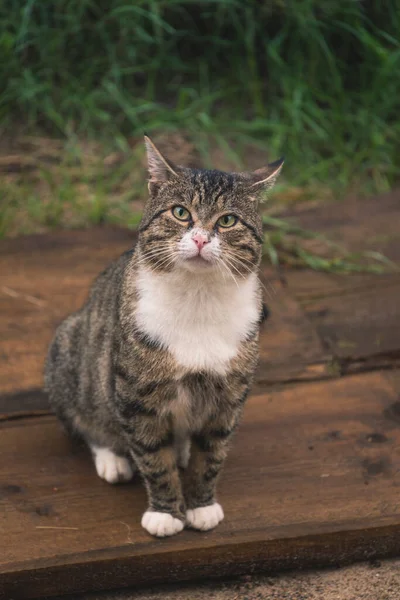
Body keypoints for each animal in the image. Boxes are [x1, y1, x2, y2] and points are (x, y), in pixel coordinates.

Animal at [44, 137, 284, 540]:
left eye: (227, 220)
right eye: (181, 213)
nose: (200, 238)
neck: (198, 299)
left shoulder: (228, 398)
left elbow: (211, 456)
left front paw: (201, 505)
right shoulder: (137, 397)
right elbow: (154, 459)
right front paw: (166, 513)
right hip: (69, 351)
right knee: (87, 421)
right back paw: (113, 458)